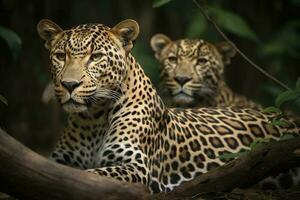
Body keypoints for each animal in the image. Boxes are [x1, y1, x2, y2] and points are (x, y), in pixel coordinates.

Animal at [38, 18, 300, 194]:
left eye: (96, 57)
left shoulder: (137, 166)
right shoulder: (60, 159)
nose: (69, 84)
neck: (93, 118)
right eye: (60, 56)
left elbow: (91, 174)